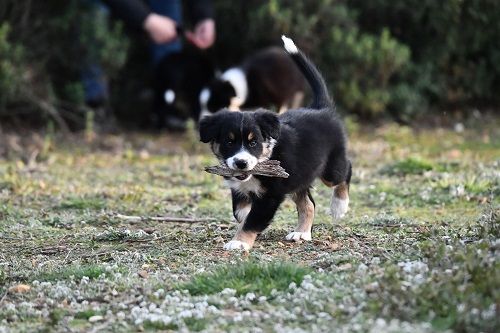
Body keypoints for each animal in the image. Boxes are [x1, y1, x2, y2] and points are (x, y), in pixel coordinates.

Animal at [199, 36, 352, 249]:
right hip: (298, 176)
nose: (241, 163)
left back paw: (339, 205)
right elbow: (240, 212)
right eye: (228, 142)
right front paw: (243, 221)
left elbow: (253, 220)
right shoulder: (239, 187)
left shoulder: (270, 196)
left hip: (331, 168)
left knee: (345, 171)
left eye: (253, 142)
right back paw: (301, 233)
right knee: (308, 204)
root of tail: (321, 108)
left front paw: (239, 243)